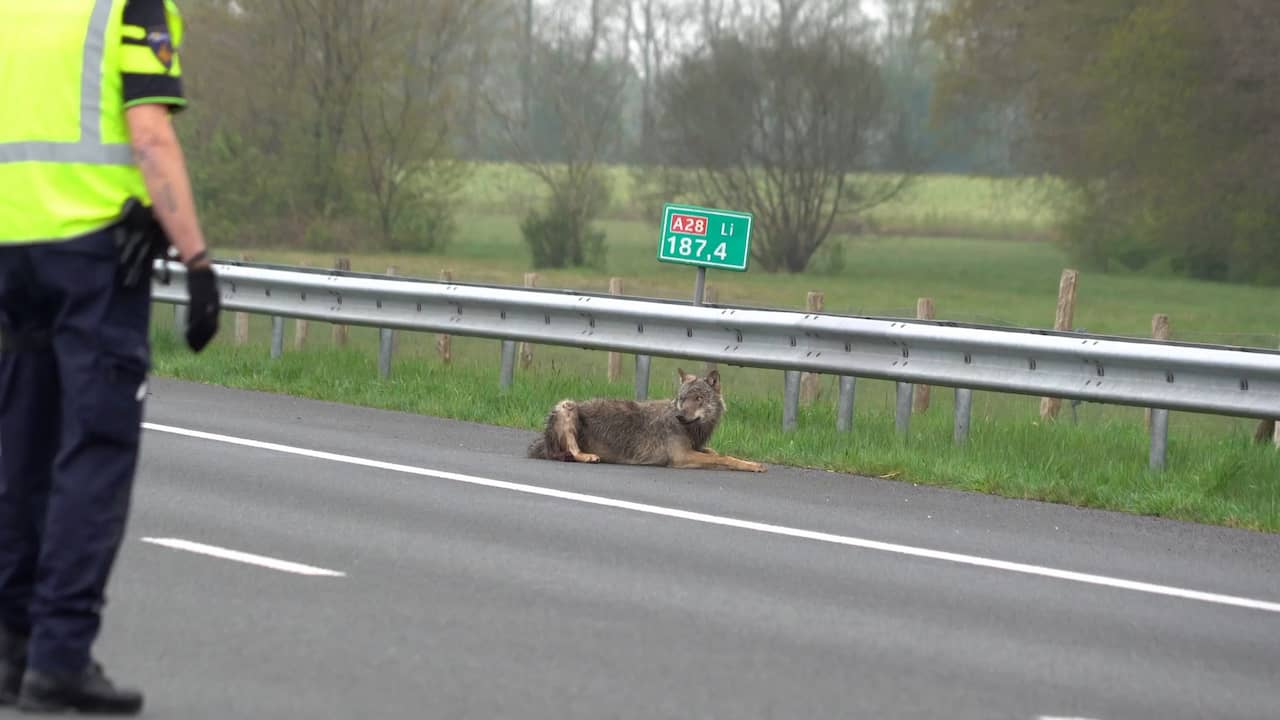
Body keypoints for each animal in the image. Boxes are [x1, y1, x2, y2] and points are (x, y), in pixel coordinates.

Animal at [526, 368, 766, 472]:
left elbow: (722, 454)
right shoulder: (682, 457)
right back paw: (589, 457)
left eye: (698, 398)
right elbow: (722, 458)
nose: (680, 415)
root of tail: (538, 445)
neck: (693, 430)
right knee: (573, 451)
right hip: (567, 405)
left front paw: (753, 463)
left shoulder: (698, 448)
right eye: (682, 398)